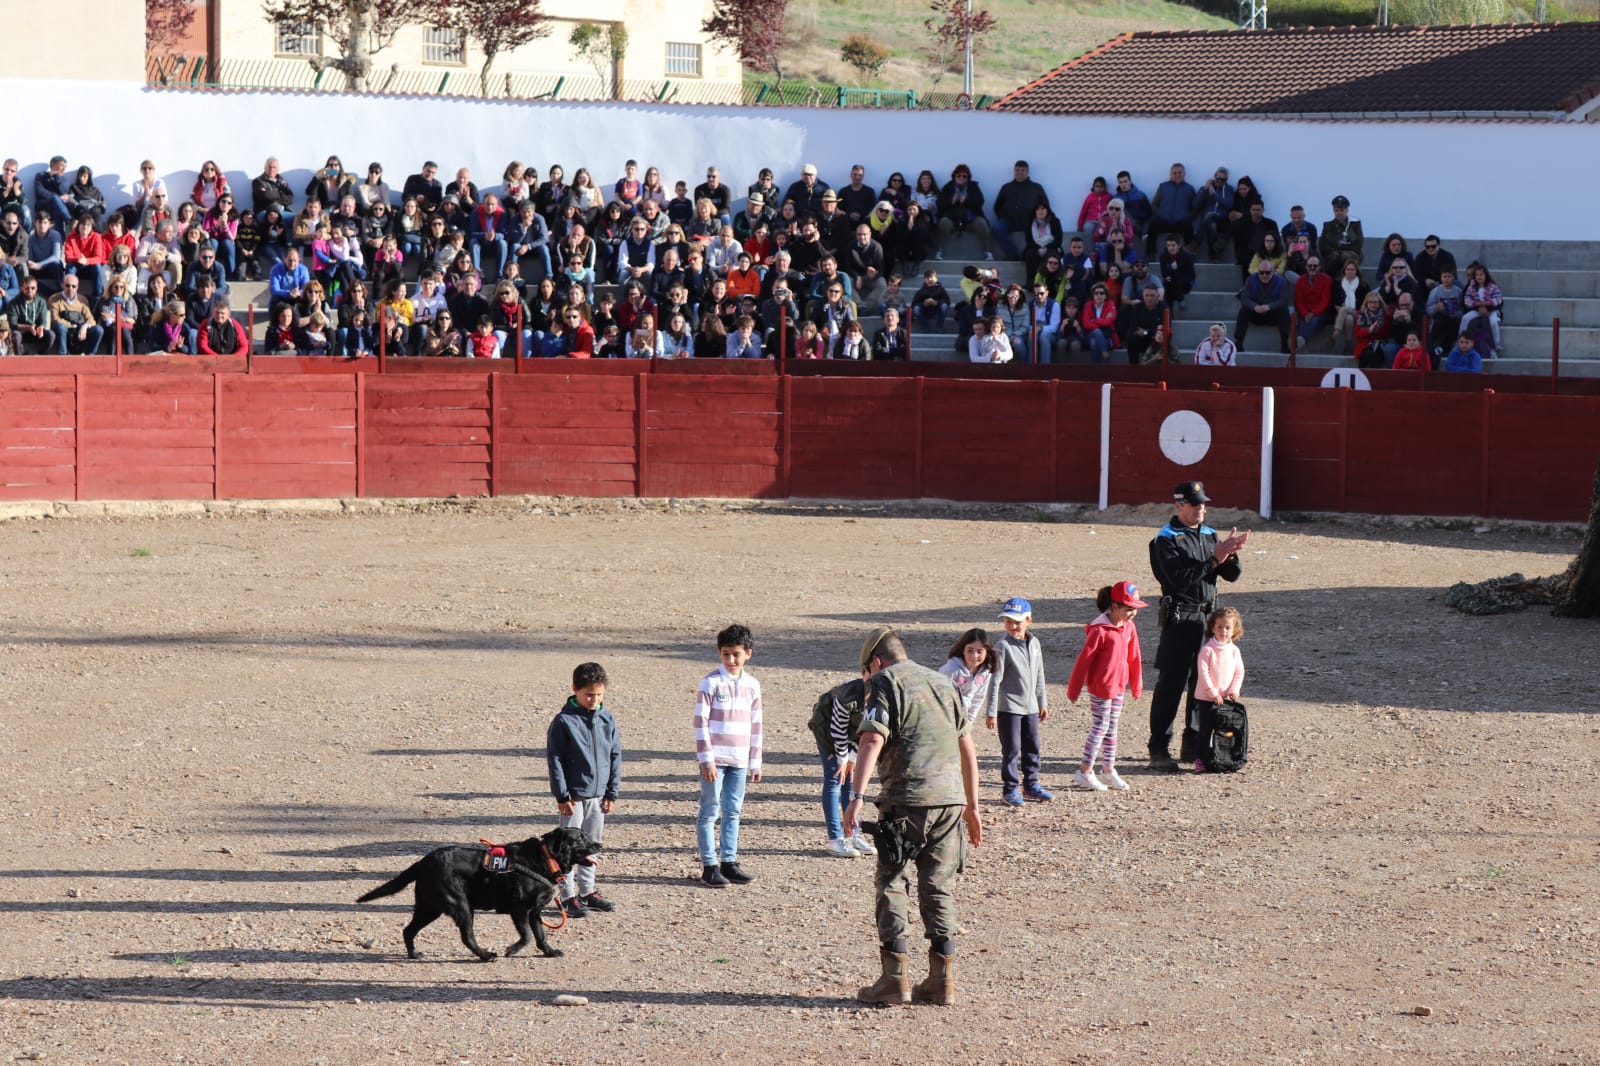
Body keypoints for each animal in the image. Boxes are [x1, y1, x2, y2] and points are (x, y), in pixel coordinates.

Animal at [356, 819, 601, 960]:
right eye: (580, 838)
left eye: (586, 836)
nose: (599, 844)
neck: (544, 858)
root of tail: (425, 861)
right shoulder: (520, 910)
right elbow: (527, 936)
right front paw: (512, 950)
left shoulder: (535, 912)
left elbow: (541, 935)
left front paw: (549, 952)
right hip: (461, 906)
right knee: (467, 937)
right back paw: (485, 955)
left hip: (429, 908)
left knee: (408, 930)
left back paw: (413, 954)